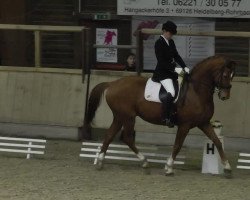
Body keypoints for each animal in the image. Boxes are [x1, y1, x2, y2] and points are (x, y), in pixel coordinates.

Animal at [81, 55, 235, 177]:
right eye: (225, 75)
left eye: (233, 76)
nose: (225, 96)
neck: (196, 91)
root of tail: (112, 83)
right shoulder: (185, 125)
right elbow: (177, 145)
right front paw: (169, 168)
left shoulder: (203, 123)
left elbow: (217, 141)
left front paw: (227, 168)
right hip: (128, 117)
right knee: (127, 138)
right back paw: (144, 163)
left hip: (120, 117)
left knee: (109, 135)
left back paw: (100, 162)